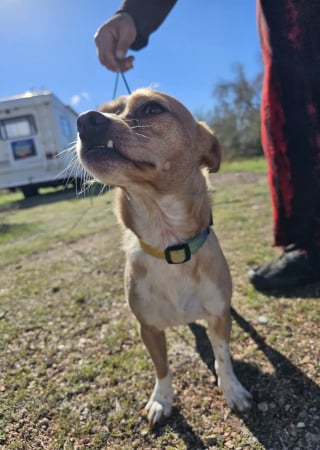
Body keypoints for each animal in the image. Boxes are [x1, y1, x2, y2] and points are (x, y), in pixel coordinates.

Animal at [76, 89, 251, 428]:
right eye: (107, 109)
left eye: (152, 108)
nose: (86, 119)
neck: (169, 242)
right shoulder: (148, 329)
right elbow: (162, 368)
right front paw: (161, 401)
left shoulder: (218, 318)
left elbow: (223, 356)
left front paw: (232, 389)